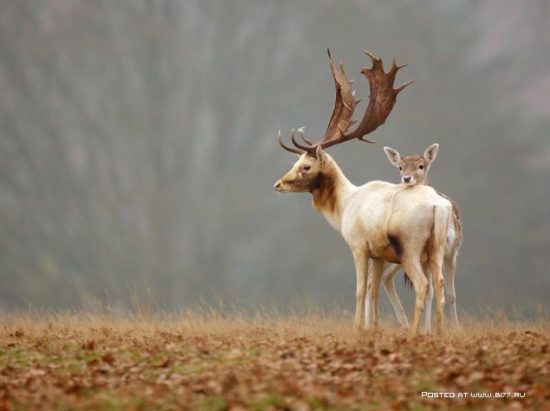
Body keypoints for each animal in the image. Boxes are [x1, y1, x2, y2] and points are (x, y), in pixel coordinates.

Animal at [274, 50, 452, 336]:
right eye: (296, 161)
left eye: (305, 166)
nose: (278, 184)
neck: (344, 206)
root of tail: (439, 206)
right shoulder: (378, 253)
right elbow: (373, 291)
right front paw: (374, 328)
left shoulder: (358, 246)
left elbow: (360, 290)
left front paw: (357, 327)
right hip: (436, 247)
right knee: (440, 285)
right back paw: (438, 333)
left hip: (410, 246)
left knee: (423, 285)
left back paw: (413, 332)